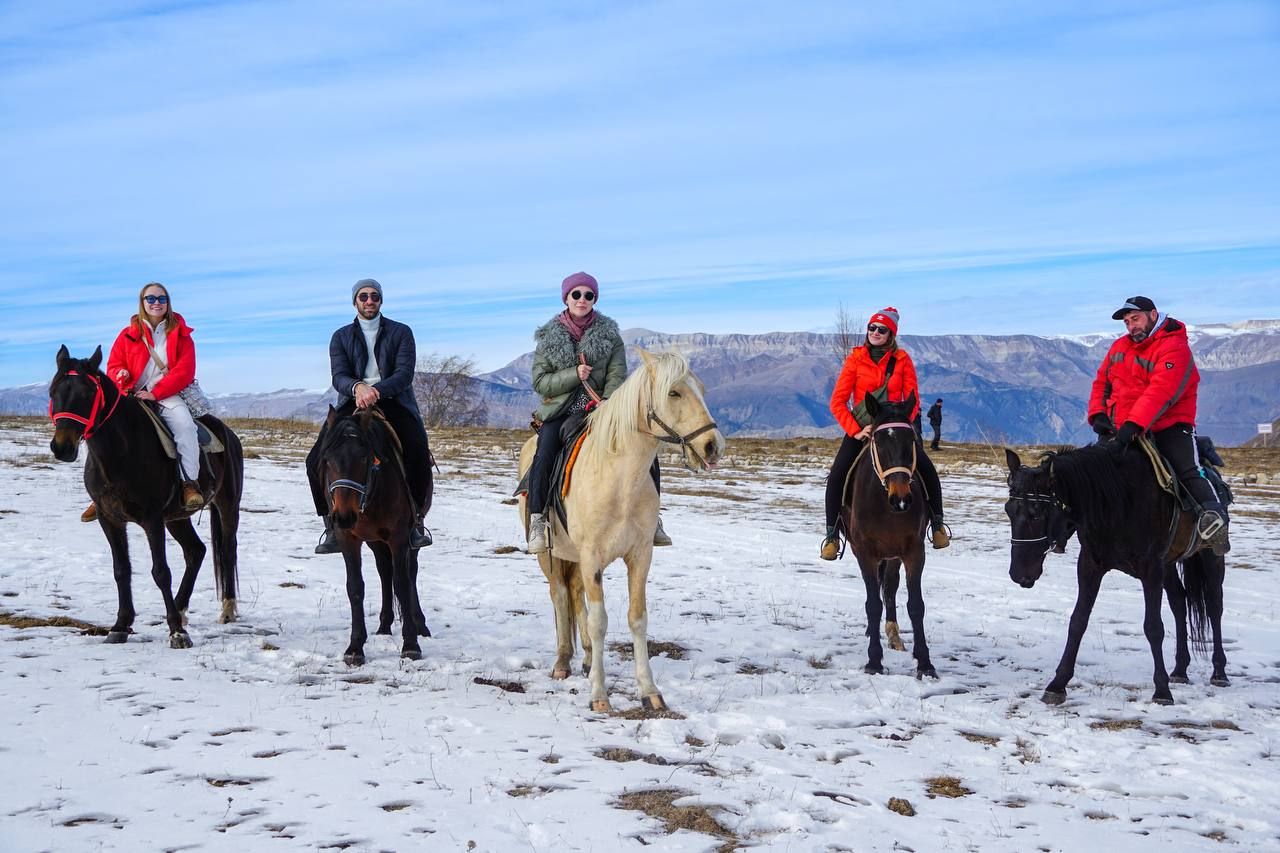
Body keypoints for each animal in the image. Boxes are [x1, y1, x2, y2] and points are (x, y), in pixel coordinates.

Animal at [46, 345, 241, 645]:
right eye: (53, 391)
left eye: (88, 393)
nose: (62, 447)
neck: (120, 452)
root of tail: (228, 434)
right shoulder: (110, 519)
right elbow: (121, 570)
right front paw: (120, 625)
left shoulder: (152, 519)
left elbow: (160, 571)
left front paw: (177, 632)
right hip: (177, 518)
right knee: (196, 551)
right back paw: (181, 608)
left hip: (228, 505)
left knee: (228, 550)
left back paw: (227, 610)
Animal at [313, 404, 430, 666]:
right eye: (327, 460)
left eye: (364, 457)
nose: (344, 516)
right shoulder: (349, 540)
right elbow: (355, 586)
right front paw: (355, 648)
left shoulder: (398, 538)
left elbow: (402, 584)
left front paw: (411, 645)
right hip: (376, 541)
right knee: (384, 571)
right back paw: (384, 625)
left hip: (410, 536)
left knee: (411, 573)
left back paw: (420, 625)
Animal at [514, 348, 727, 712]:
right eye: (674, 392)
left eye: (701, 389)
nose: (713, 446)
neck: (618, 480)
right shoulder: (591, 557)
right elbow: (600, 621)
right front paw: (599, 696)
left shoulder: (639, 555)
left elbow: (637, 618)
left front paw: (650, 691)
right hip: (550, 556)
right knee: (559, 595)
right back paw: (562, 662)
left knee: (574, 595)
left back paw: (587, 659)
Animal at [844, 391, 936, 676]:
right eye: (879, 441)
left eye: (912, 440)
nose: (901, 499)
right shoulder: (864, 553)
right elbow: (872, 605)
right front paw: (874, 661)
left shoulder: (914, 551)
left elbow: (916, 606)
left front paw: (925, 663)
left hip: (893, 554)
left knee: (890, 586)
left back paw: (893, 634)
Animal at [1003, 440, 1223, 701]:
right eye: (1008, 510)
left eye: (1036, 513)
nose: (1018, 574)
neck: (1116, 501)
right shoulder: (1090, 565)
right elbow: (1078, 621)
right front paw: (1057, 684)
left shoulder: (1151, 569)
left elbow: (1153, 627)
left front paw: (1161, 690)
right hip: (1169, 564)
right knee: (1180, 601)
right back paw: (1180, 669)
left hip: (1210, 557)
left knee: (1214, 606)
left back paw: (1219, 671)